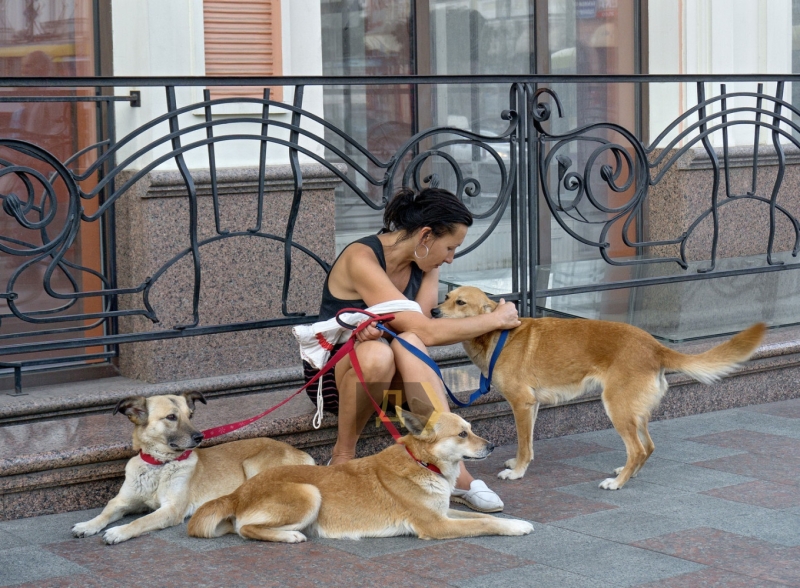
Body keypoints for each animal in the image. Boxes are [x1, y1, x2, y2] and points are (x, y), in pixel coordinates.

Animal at [72, 392, 314, 544]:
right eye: (171, 417)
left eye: (191, 415)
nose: (200, 437)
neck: (159, 466)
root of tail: (301, 453)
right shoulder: (122, 502)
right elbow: (105, 512)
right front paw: (87, 525)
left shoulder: (171, 510)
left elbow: (140, 521)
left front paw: (119, 531)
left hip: (254, 466)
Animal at [188, 400, 536, 544]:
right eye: (462, 434)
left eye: (472, 428)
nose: (492, 445)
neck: (421, 462)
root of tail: (237, 493)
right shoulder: (437, 525)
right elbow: (484, 524)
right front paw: (516, 527)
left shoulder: (444, 514)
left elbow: (482, 517)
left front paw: (513, 520)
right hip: (309, 492)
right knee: (247, 529)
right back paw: (289, 536)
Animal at [434, 288, 764, 490]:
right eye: (446, 296)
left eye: (460, 302)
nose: (434, 312)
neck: (498, 334)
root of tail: (654, 347)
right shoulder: (533, 406)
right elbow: (527, 444)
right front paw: (518, 464)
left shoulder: (522, 404)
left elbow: (524, 444)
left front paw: (517, 472)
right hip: (634, 412)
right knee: (647, 448)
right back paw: (627, 473)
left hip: (616, 407)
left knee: (638, 448)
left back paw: (617, 484)